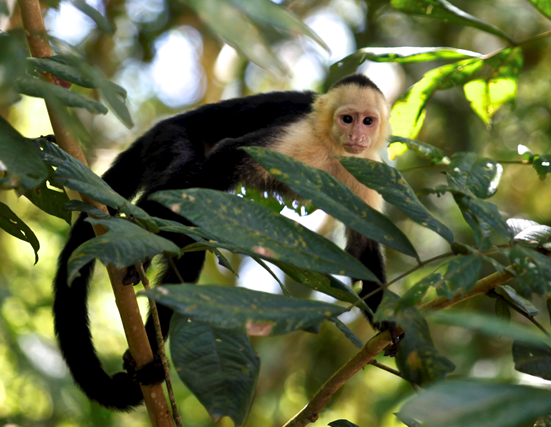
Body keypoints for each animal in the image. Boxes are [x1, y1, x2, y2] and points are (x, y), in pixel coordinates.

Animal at [51, 73, 388, 412]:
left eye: (368, 121)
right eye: (347, 118)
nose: (357, 134)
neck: (331, 147)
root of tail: (156, 129)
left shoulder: (366, 168)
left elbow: (363, 246)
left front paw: (387, 323)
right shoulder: (300, 137)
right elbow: (229, 155)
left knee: (189, 244)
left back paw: (152, 355)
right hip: (169, 139)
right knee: (187, 178)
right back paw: (140, 231)